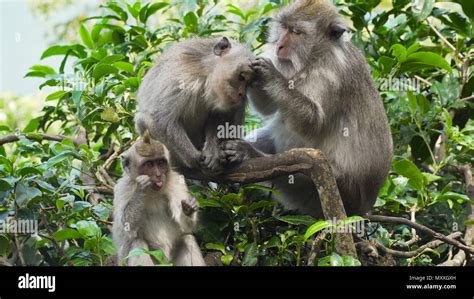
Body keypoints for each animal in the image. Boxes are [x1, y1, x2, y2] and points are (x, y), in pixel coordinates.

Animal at [114, 132, 206, 268]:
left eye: (161, 162)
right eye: (149, 164)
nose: (158, 175)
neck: (152, 192)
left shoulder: (176, 181)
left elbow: (186, 226)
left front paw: (188, 209)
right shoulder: (122, 188)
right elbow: (127, 227)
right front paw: (140, 188)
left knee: (187, 239)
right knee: (137, 243)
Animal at [135, 36, 256, 176]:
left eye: (248, 84)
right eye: (242, 77)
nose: (241, 94)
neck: (205, 72)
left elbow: (217, 117)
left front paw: (213, 153)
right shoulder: (179, 76)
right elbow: (163, 120)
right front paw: (194, 158)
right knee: (143, 120)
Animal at [222, 0, 392, 218]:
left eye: (296, 32)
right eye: (284, 27)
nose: (279, 45)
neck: (314, 58)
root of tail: (364, 208)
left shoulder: (332, 75)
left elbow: (313, 122)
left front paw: (270, 75)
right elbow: (268, 107)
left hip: (341, 192)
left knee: (305, 169)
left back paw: (250, 155)